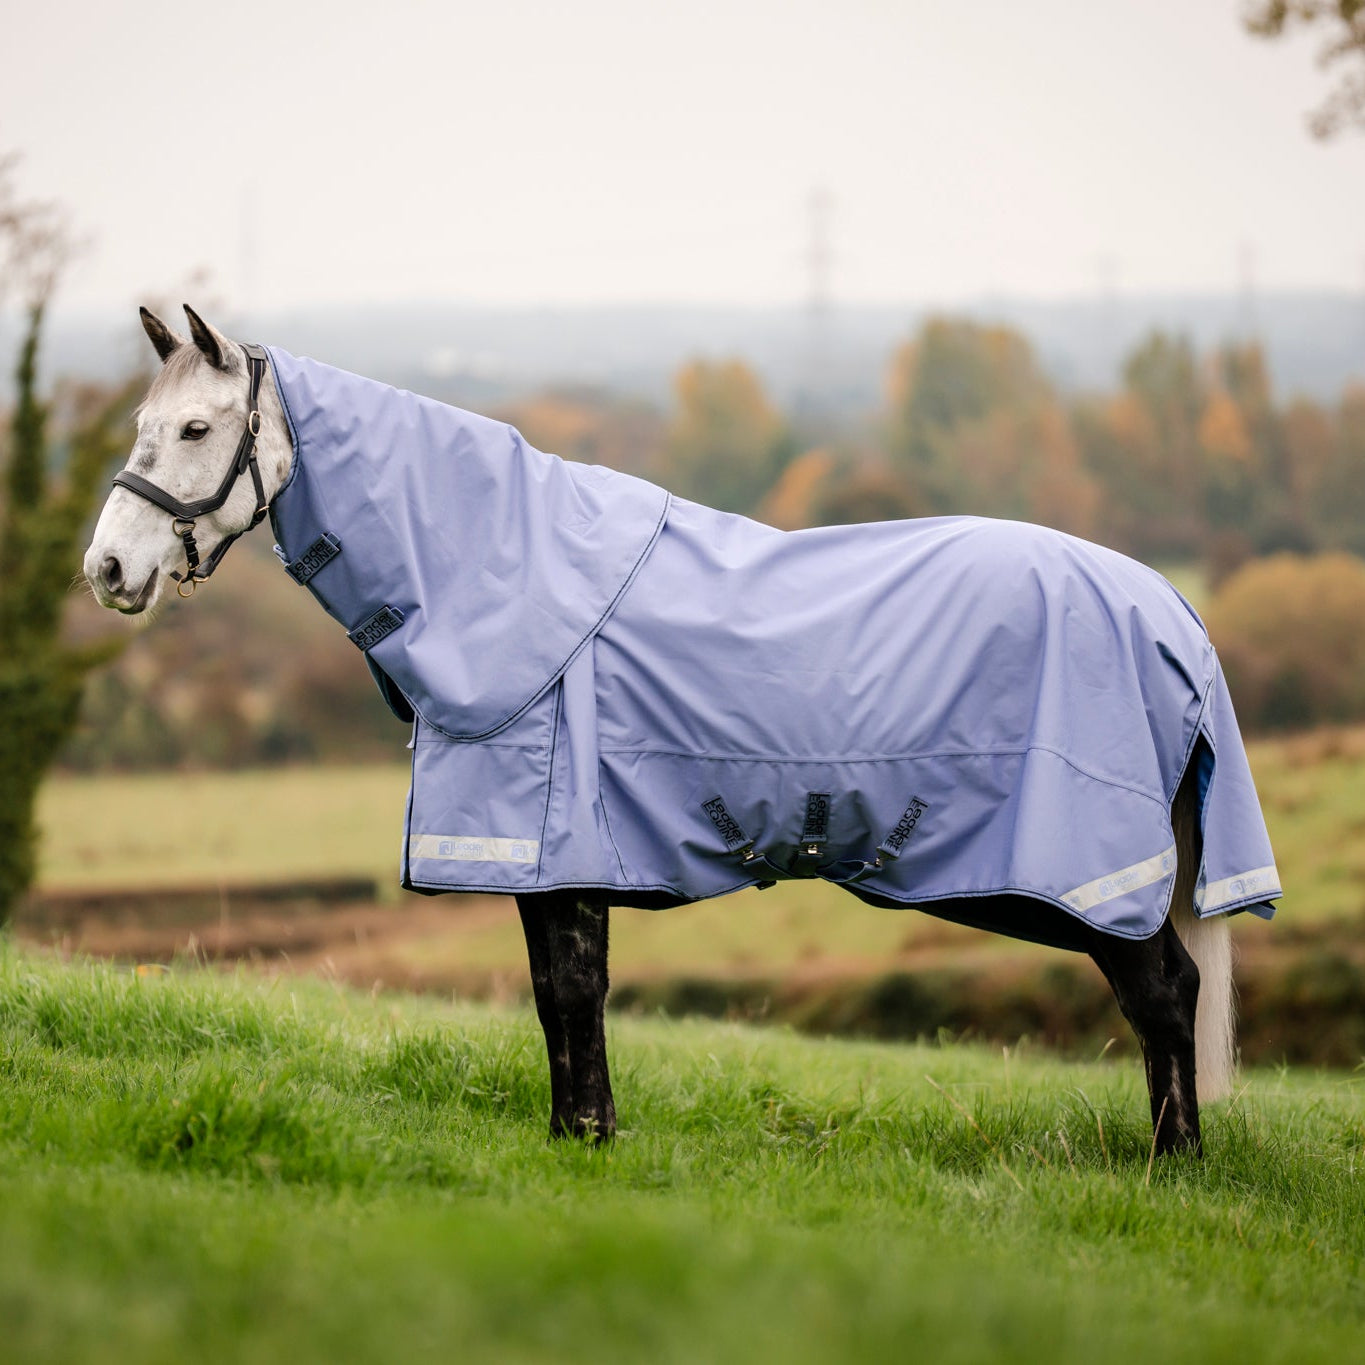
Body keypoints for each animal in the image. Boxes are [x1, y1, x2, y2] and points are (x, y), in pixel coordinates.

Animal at [84, 305, 1281, 1156]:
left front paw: (590, 1137)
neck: (508, 576)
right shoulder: (547, 859)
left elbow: (574, 991)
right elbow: (555, 995)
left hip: (1090, 876)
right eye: (143, 427)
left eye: (196, 429)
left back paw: (1173, 1165)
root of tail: (1170, 609)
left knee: (1164, 993)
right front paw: (577, 1136)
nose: (107, 570)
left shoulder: (559, 847)